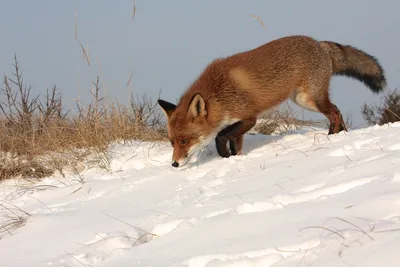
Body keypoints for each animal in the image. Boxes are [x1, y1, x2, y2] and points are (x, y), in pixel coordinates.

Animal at [158, 35, 386, 168]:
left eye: (184, 141)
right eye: (172, 142)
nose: (174, 164)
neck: (219, 95)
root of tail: (318, 43)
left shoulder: (249, 118)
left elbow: (220, 137)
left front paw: (224, 155)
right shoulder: (237, 125)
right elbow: (235, 145)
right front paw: (233, 159)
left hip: (309, 99)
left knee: (334, 113)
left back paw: (331, 137)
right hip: (303, 100)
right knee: (336, 109)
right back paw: (342, 135)